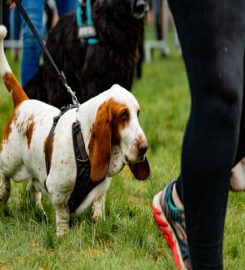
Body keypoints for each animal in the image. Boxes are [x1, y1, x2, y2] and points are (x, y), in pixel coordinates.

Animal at [0, 25, 149, 236]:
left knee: (32, 189)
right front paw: (62, 236)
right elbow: (62, 215)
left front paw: (98, 223)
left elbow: (98, 205)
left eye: (137, 113)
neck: (83, 144)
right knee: (5, 176)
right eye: (123, 116)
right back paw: (3, 192)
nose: (144, 148)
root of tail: (23, 102)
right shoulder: (57, 190)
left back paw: (38, 211)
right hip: (10, 161)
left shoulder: (100, 190)